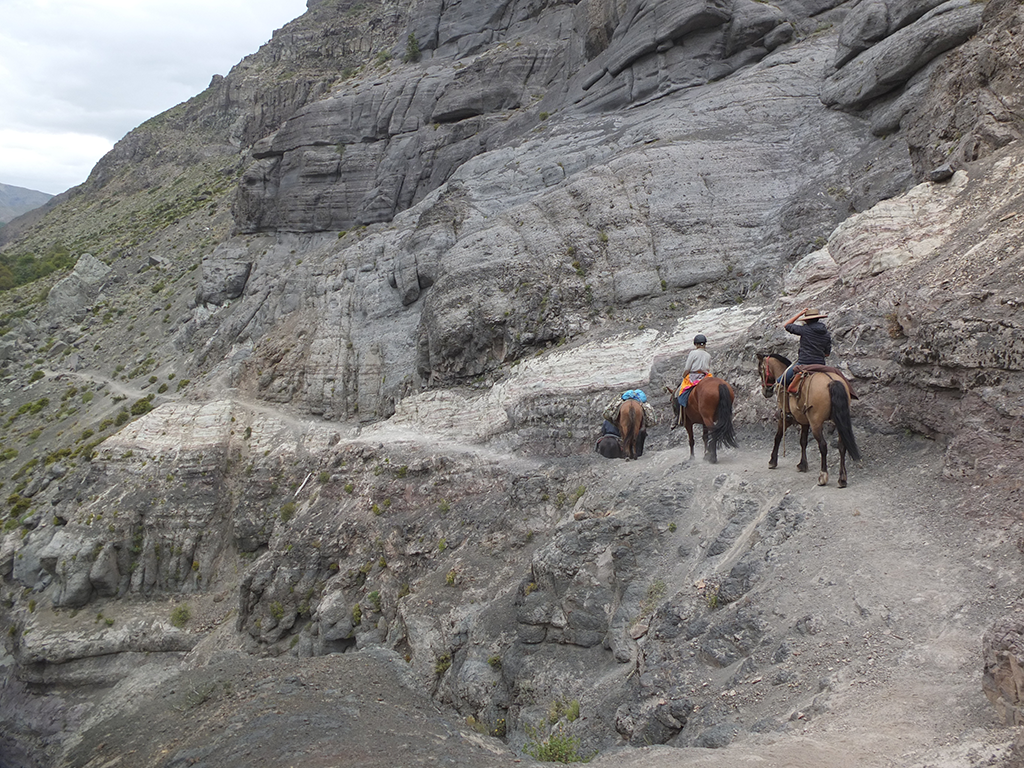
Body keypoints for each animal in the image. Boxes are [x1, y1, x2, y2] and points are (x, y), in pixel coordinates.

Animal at [757, 354, 860, 487]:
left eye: (761, 371)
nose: (766, 392)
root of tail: (831, 381)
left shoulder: (784, 419)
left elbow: (777, 437)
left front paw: (772, 461)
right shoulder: (804, 421)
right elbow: (803, 441)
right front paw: (802, 464)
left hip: (816, 424)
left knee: (823, 445)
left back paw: (823, 476)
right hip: (839, 423)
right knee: (842, 446)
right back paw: (842, 479)